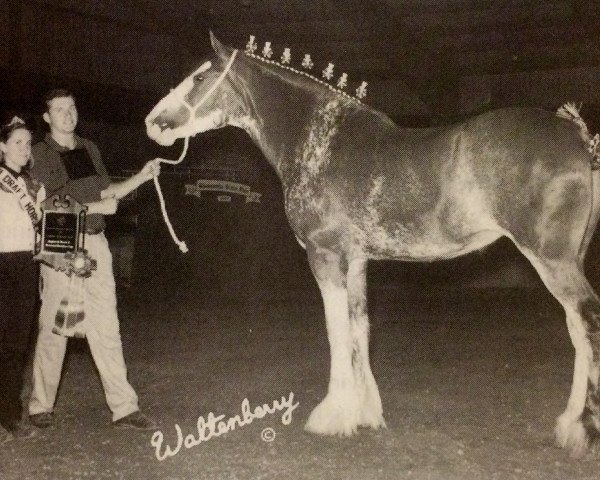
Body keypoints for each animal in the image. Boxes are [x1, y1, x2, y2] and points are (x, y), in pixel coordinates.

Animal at [145, 32, 600, 454]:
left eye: (199, 77)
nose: (153, 122)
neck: (319, 140)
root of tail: (578, 138)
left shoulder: (325, 254)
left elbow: (335, 329)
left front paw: (331, 415)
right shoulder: (358, 260)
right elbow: (358, 326)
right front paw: (363, 412)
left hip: (551, 258)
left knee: (588, 320)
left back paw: (583, 431)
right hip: (569, 259)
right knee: (576, 328)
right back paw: (567, 424)